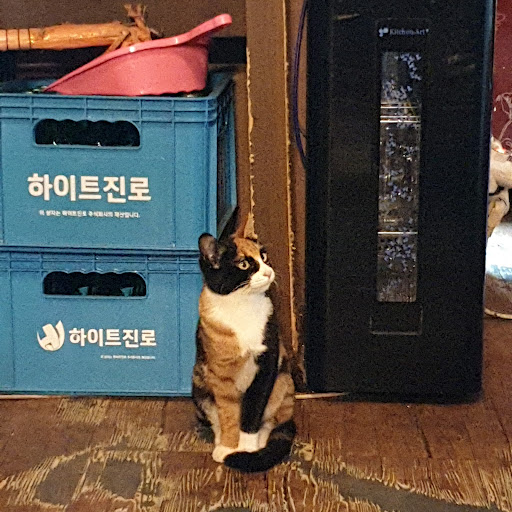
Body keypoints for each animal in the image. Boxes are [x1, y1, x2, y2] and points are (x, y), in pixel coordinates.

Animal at [192, 207, 296, 473]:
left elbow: (252, 411)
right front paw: (229, 447)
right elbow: (228, 414)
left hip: (282, 383)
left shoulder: (267, 365)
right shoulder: (220, 376)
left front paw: (247, 449)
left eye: (263, 256)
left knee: (271, 421)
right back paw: (219, 443)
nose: (268, 272)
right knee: (214, 417)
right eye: (244, 263)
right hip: (198, 384)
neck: (242, 306)